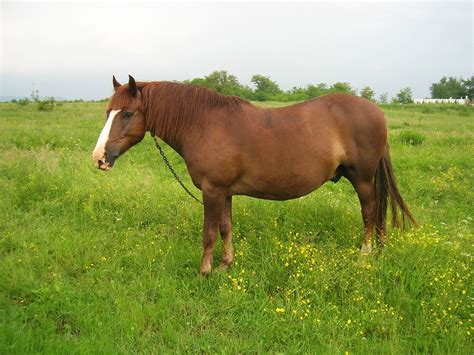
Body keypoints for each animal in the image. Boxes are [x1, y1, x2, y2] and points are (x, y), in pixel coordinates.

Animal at [91, 75, 414, 276]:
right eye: (108, 112)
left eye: (128, 114)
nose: (99, 158)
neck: (203, 124)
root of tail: (376, 111)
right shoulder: (224, 192)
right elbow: (226, 228)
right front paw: (225, 265)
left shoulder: (212, 190)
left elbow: (209, 233)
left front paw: (204, 271)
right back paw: (378, 255)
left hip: (362, 179)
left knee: (370, 214)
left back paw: (363, 258)